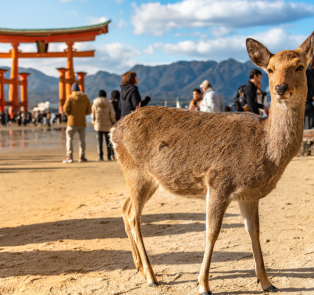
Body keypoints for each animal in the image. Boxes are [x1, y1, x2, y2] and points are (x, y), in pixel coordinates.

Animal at [110, 31, 314, 294]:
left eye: (300, 66)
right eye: (270, 69)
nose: (280, 87)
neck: (265, 147)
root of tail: (113, 131)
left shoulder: (249, 194)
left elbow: (255, 232)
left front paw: (267, 282)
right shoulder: (219, 182)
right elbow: (212, 232)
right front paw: (203, 284)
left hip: (147, 179)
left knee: (125, 208)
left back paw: (139, 268)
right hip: (136, 172)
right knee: (135, 217)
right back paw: (152, 276)